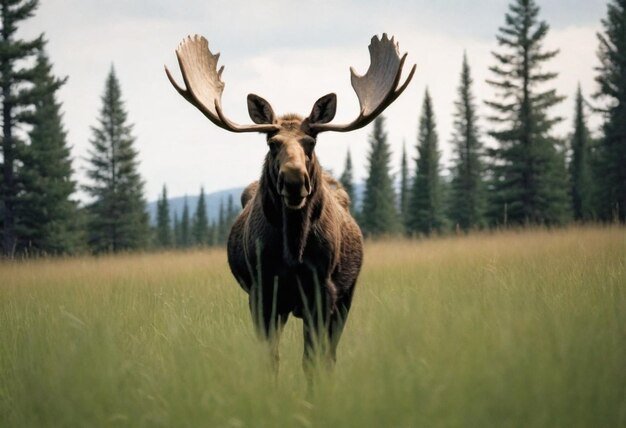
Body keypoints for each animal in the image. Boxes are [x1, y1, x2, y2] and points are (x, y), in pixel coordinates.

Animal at [163, 33, 412, 378]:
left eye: (312, 142)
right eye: (272, 143)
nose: (294, 180)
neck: (294, 252)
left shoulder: (324, 292)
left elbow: (313, 360)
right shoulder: (263, 292)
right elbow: (270, 359)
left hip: (346, 297)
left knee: (330, 354)